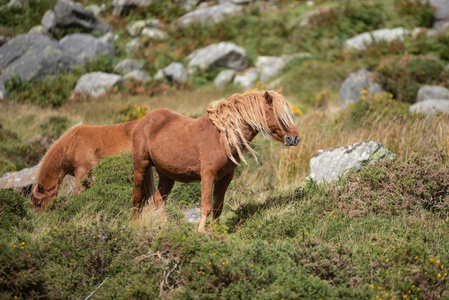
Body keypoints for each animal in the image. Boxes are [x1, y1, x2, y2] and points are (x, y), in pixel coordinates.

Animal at [131, 88, 300, 233]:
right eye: (277, 114)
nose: (294, 138)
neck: (223, 136)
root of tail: (144, 120)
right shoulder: (207, 175)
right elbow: (205, 205)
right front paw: (201, 232)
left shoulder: (225, 177)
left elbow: (218, 206)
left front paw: (216, 232)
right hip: (141, 166)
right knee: (137, 197)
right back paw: (135, 225)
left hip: (167, 174)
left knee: (159, 199)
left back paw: (165, 227)